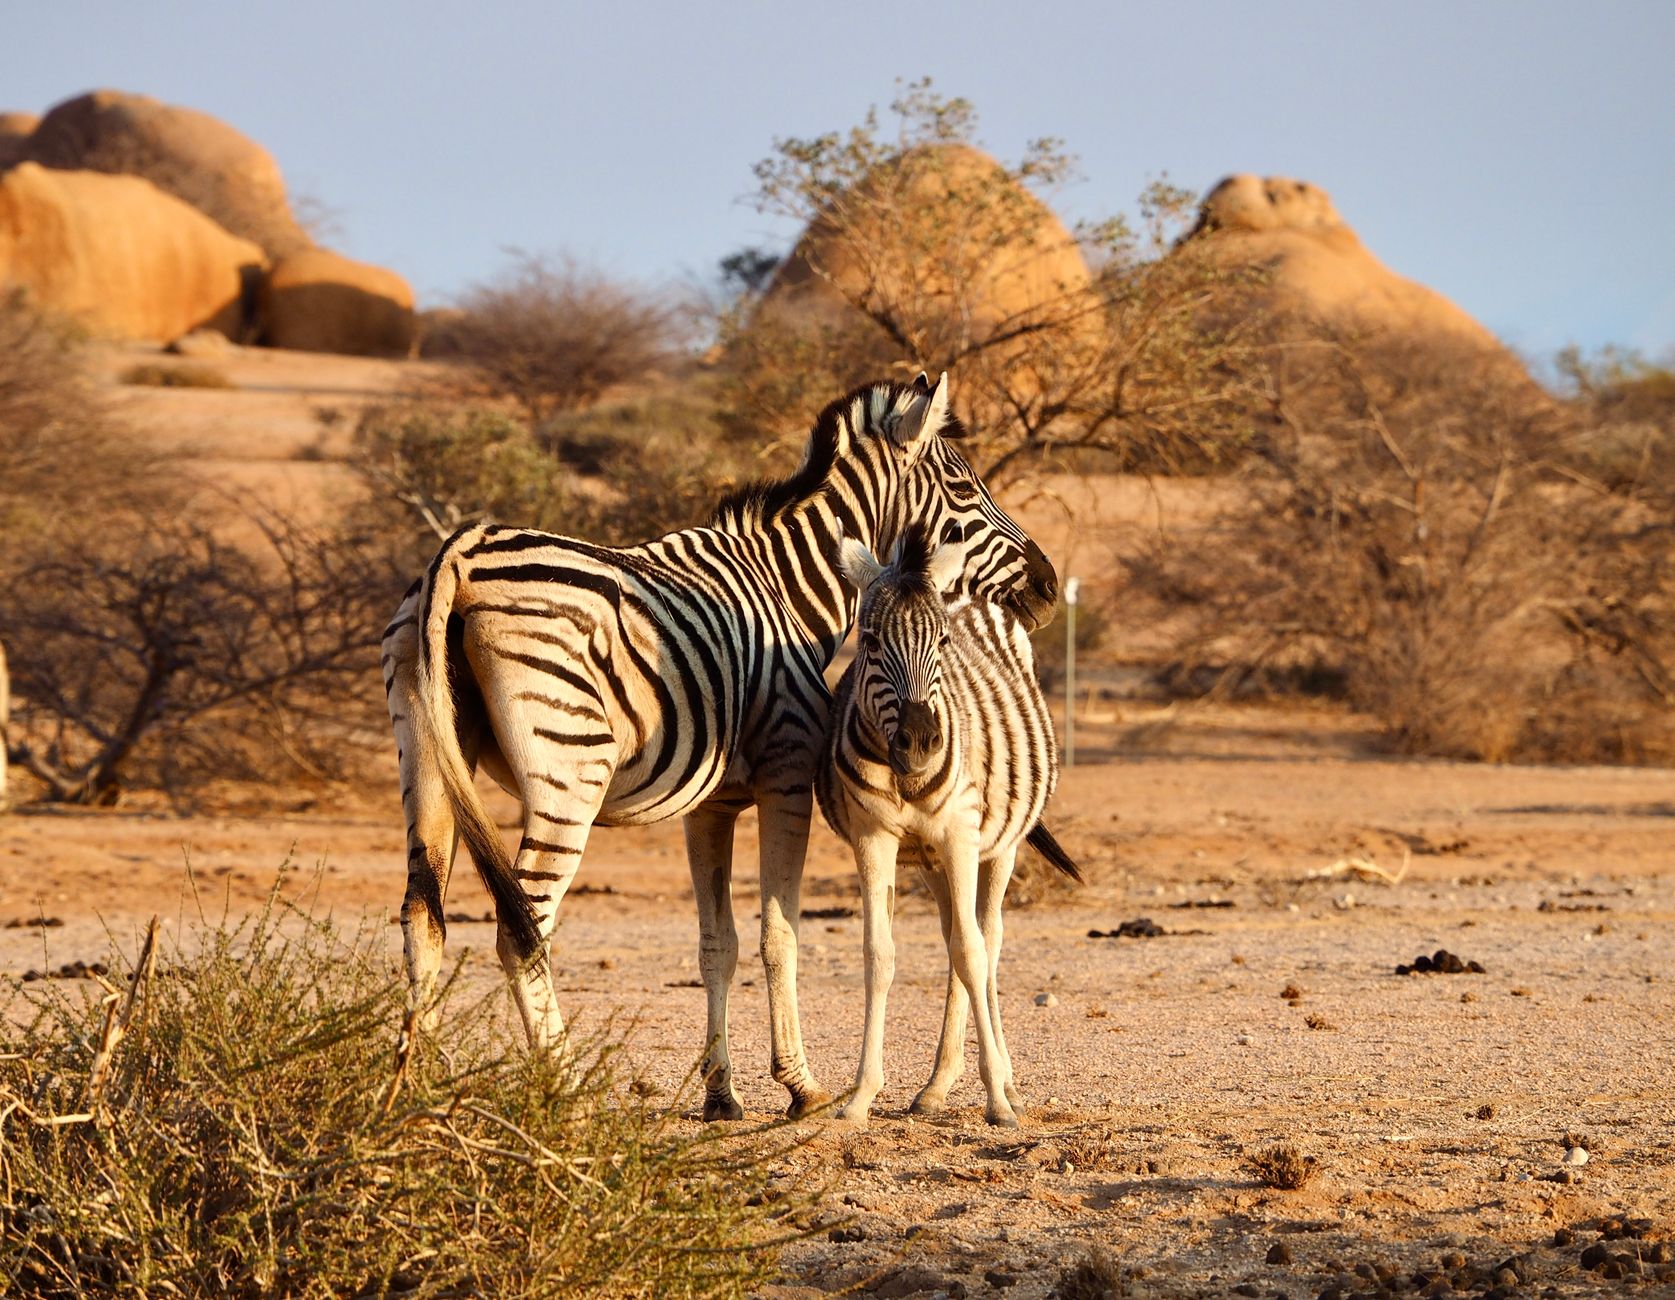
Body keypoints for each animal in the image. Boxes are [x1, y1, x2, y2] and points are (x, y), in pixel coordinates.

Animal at [816, 523, 1080, 1128]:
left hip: (999, 845)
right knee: (958, 938)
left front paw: (997, 1098)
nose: (919, 742)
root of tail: (969, 593)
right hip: (931, 859)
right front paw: (862, 1094)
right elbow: (879, 954)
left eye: (941, 644)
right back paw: (937, 1084)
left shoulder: (961, 834)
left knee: (987, 938)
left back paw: (1003, 1079)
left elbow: (972, 952)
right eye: (869, 642)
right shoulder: (873, 837)